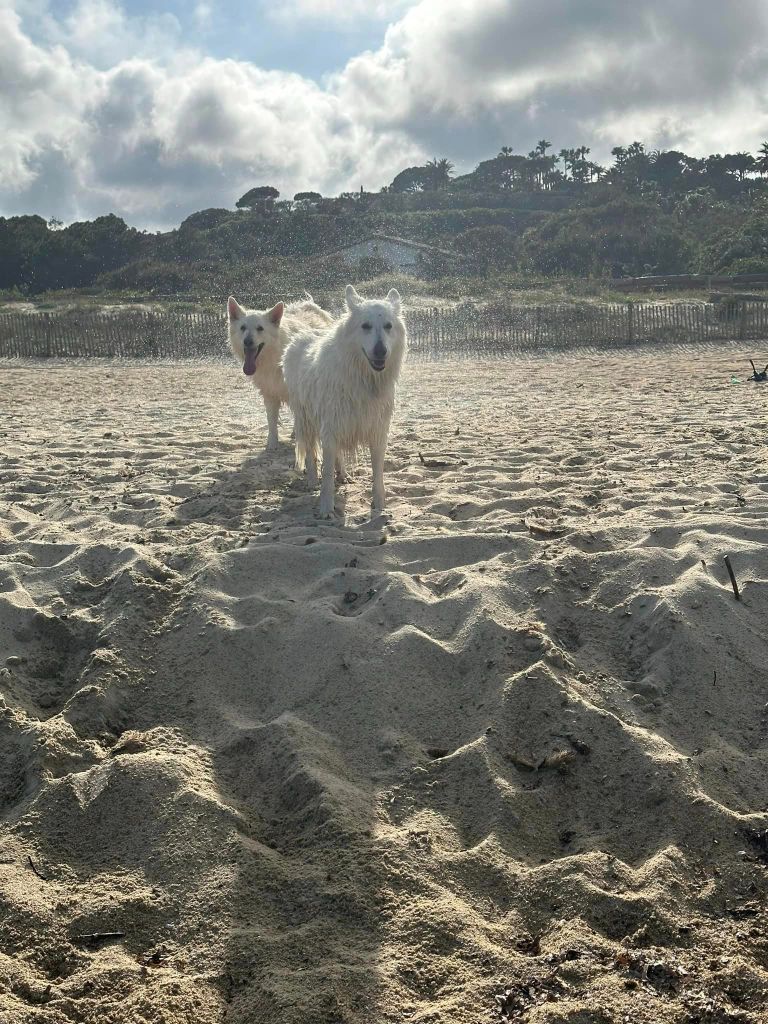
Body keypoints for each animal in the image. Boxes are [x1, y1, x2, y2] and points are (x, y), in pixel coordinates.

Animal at [227, 292, 331, 448]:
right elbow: (271, 419)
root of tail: (310, 305)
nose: (247, 341)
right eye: (242, 327)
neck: (275, 357)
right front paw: (272, 443)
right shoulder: (269, 391)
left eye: (260, 328)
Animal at [282, 284, 409, 516]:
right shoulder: (330, 426)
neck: (363, 378)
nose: (381, 351)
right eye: (365, 326)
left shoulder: (376, 430)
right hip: (305, 418)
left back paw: (343, 475)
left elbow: (378, 473)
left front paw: (380, 506)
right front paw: (326, 508)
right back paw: (312, 480)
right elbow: (326, 473)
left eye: (388, 326)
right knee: (311, 450)